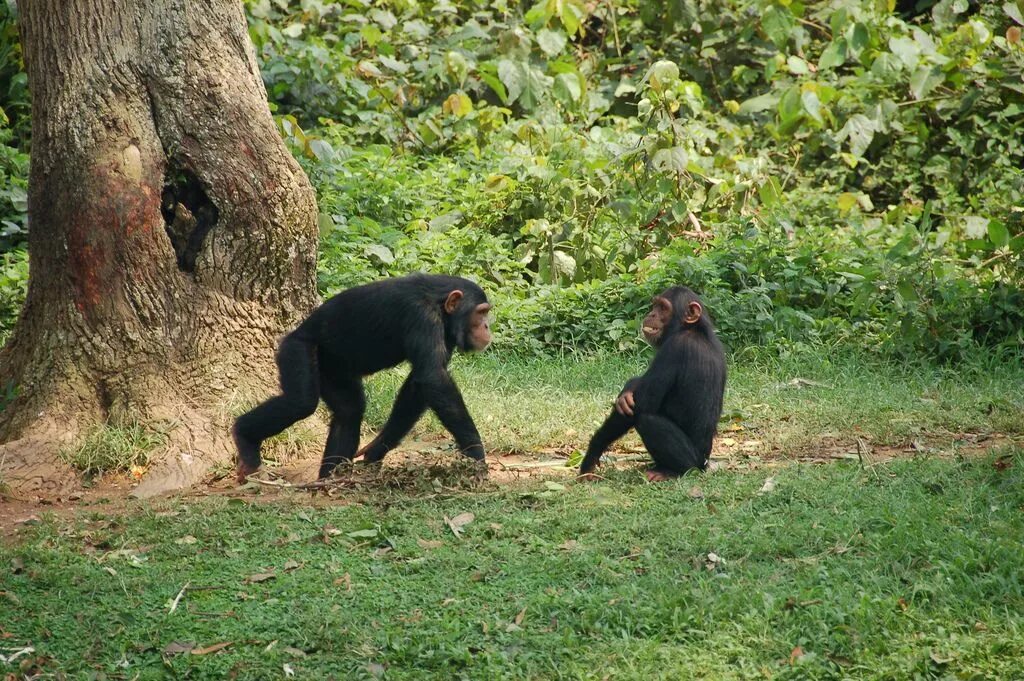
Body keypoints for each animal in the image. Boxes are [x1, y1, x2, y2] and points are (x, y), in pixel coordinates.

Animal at [235, 274, 491, 481]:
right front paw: (476, 455)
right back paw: (244, 437)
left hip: (332, 370)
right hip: (296, 349)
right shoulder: (423, 318)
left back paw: (331, 479)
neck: (439, 303)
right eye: (481, 312)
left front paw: (376, 449)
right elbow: (433, 378)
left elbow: (418, 384)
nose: (488, 326)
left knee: (349, 410)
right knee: (301, 402)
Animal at [577, 284, 729, 481]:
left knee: (647, 420)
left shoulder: (673, 349)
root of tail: (706, 464)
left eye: (663, 308)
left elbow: (641, 405)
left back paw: (672, 471)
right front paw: (628, 389)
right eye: (655, 305)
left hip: (694, 461)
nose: (652, 314)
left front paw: (591, 456)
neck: (692, 329)